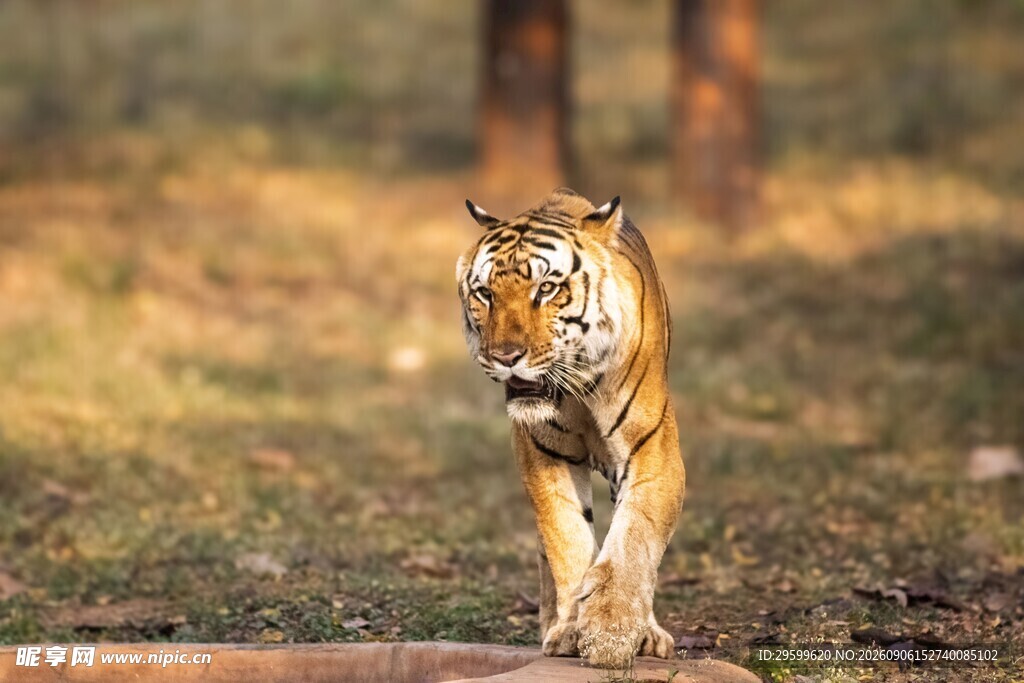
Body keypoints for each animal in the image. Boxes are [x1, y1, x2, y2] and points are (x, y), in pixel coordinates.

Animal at [455, 188, 686, 668]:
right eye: (484, 293)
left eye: (546, 288)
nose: (506, 356)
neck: (578, 384)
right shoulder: (544, 454)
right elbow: (567, 536)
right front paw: (571, 631)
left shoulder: (651, 452)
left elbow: (633, 536)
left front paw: (612, 631)